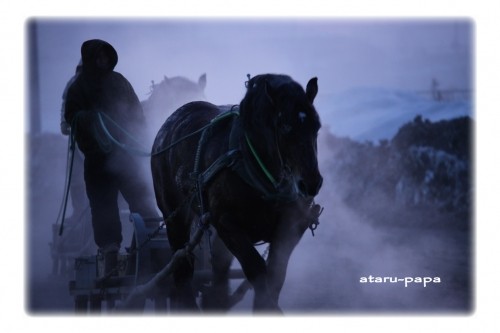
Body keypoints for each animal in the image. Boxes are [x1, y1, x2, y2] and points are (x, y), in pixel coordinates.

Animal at [150, 72, 322, 312]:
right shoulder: (227, 223)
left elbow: (275, 275)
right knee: (182, 268)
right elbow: (257, 269)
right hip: (174, 218)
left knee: (217, 273)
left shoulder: (292, 226)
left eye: (317, 126)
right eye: (285, 127)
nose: (312, 183)